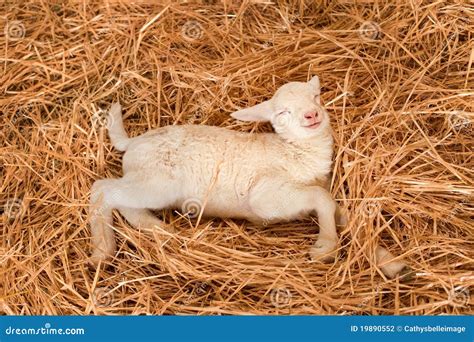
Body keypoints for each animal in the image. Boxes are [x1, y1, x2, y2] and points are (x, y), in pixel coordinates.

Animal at [90, 76, 412, 280]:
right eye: (282, 113)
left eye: (316, 97)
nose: (311, 115)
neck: (295, 152)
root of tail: (133, 142)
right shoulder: (267, 197)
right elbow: (322, 199)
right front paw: (325, 247)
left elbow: (338, 211)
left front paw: (391, 262)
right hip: (156, 180)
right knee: (104, 189)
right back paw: (103, 250)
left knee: (127, 205)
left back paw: (159, 230)